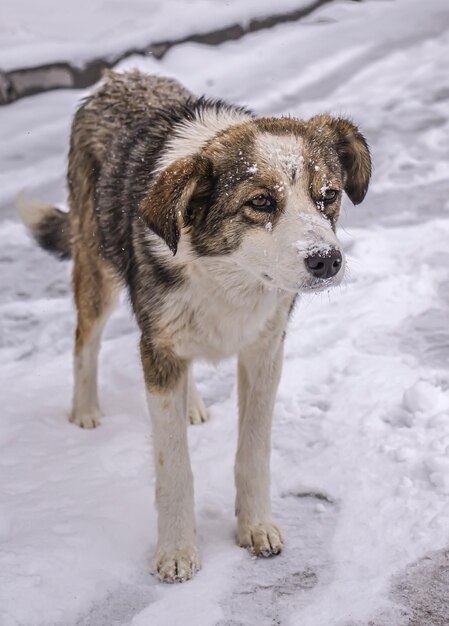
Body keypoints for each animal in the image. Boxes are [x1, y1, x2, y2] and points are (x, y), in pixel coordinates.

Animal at [16, 70, 372, 584]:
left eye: (328, 195)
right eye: (261, 201)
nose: (327, 260)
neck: (228, 273)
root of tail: (118, 76)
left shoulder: (264, 350)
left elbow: (253, 451)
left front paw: (256, 526)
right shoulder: (158, 350)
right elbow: (174, 467)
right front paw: (177, 551)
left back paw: (193, 404)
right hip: (97, 269)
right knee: (86, 338)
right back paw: (85, 411)